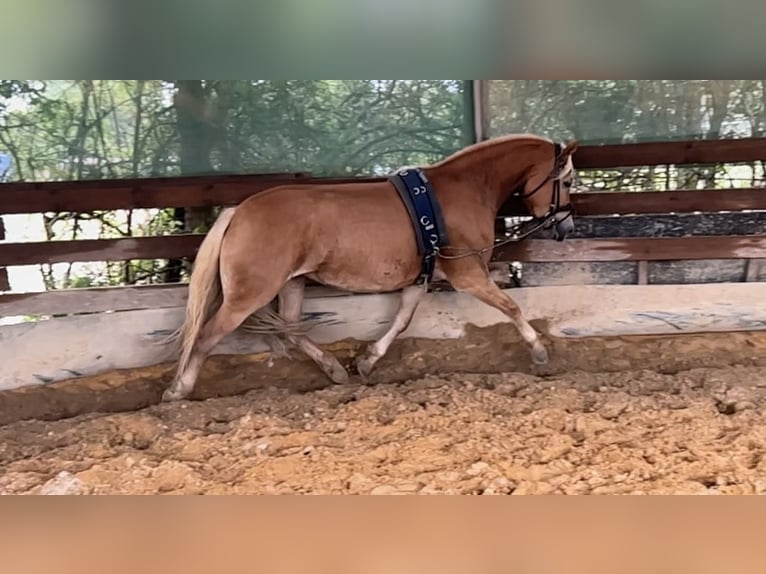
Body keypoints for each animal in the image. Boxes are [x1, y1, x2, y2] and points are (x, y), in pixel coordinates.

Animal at [164, 135, 584, 404]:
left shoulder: (420, 279)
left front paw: (367, 361)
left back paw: (335, 370)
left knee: (292, 328)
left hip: (292, 283)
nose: (566, 228)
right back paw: (178, 390)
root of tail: (238, 212)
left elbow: (401, 321)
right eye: (567, 180)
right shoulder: (467, 274)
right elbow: (511, 306)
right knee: (207, 335)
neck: (461, 191)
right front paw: (539, 351)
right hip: (249, 294)